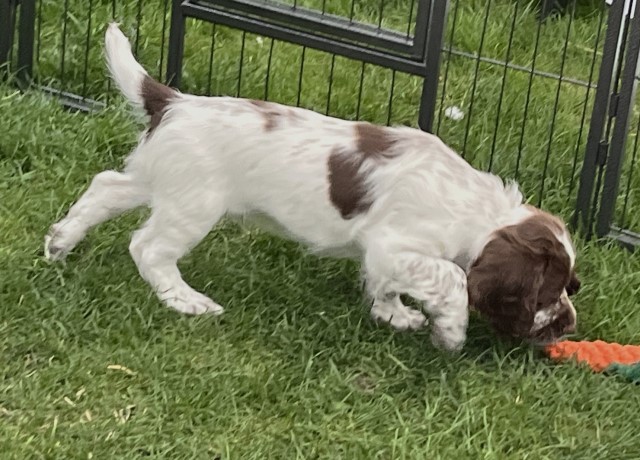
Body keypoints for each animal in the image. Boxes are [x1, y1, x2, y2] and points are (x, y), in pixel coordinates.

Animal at [43, 23, 580, 350]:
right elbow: (449, 277)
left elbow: (386, 284)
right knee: (148, 247)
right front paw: (450, 331)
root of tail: (174, 102)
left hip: (161, 179)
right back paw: (186, 300)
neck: (476, 211)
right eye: (549, 291)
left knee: (105, 186)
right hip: (194, 202)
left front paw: (396, 315)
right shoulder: (394, 243)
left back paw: (59, 242)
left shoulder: (385, 256)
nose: (568, 325)